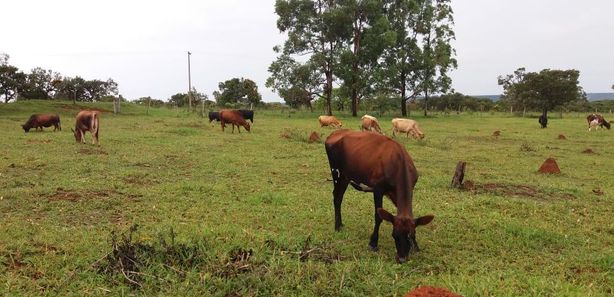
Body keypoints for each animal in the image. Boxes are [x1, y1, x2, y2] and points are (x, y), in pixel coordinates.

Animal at [324, 128, 436, 262]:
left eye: (411, 235)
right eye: (394, 235)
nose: (401, 259)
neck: (397, 162)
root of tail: (336, 132)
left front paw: (416, 246)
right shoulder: (378, 189)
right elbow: (378, 216)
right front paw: (373, 243)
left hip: (346, 177)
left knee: (339, 196)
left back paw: (340, 224)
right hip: (337, 173)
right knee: (337, 197)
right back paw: (337, 226)